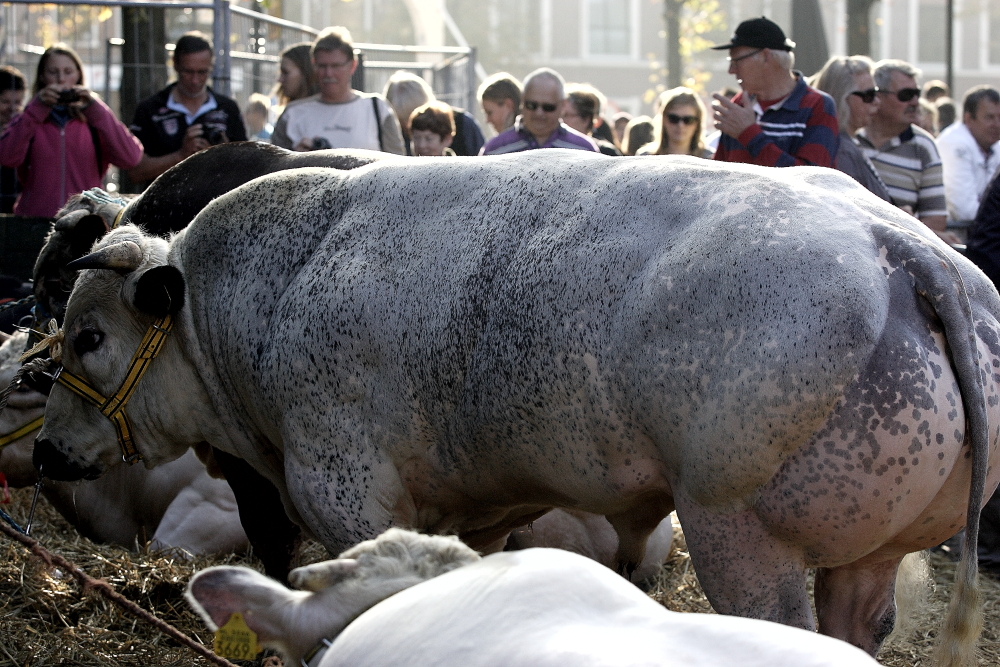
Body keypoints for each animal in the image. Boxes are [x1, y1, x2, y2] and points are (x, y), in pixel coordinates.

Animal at [31, 153, 1000, 664]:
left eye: (87, 336)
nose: (42, 454)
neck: (265, 293)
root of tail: (901, 245)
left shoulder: (344, 489)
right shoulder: (476, 513)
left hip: (740, 531)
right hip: (869, 552)